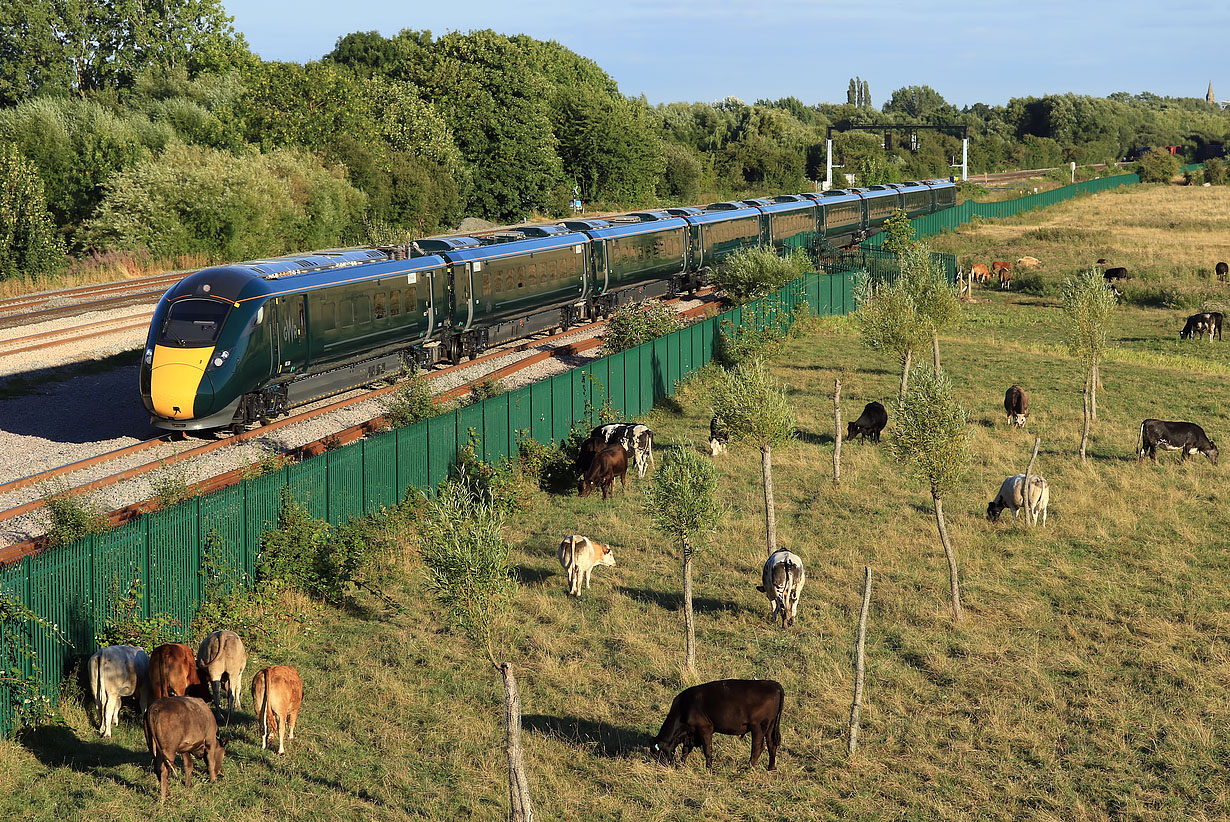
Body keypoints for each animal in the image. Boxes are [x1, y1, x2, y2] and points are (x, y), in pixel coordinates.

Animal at [649, 679, 782, 767]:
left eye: (658, 752)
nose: (663, 766)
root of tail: (772, 684)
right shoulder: (690, 733)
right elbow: (685, 750)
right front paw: (682, 764)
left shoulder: (705, 729)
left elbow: (707, 750)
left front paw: (709, 768)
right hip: (770, 726)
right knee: (771, 745)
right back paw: (770, 768)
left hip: (758, 727)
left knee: (757, 747)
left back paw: (747, 768)